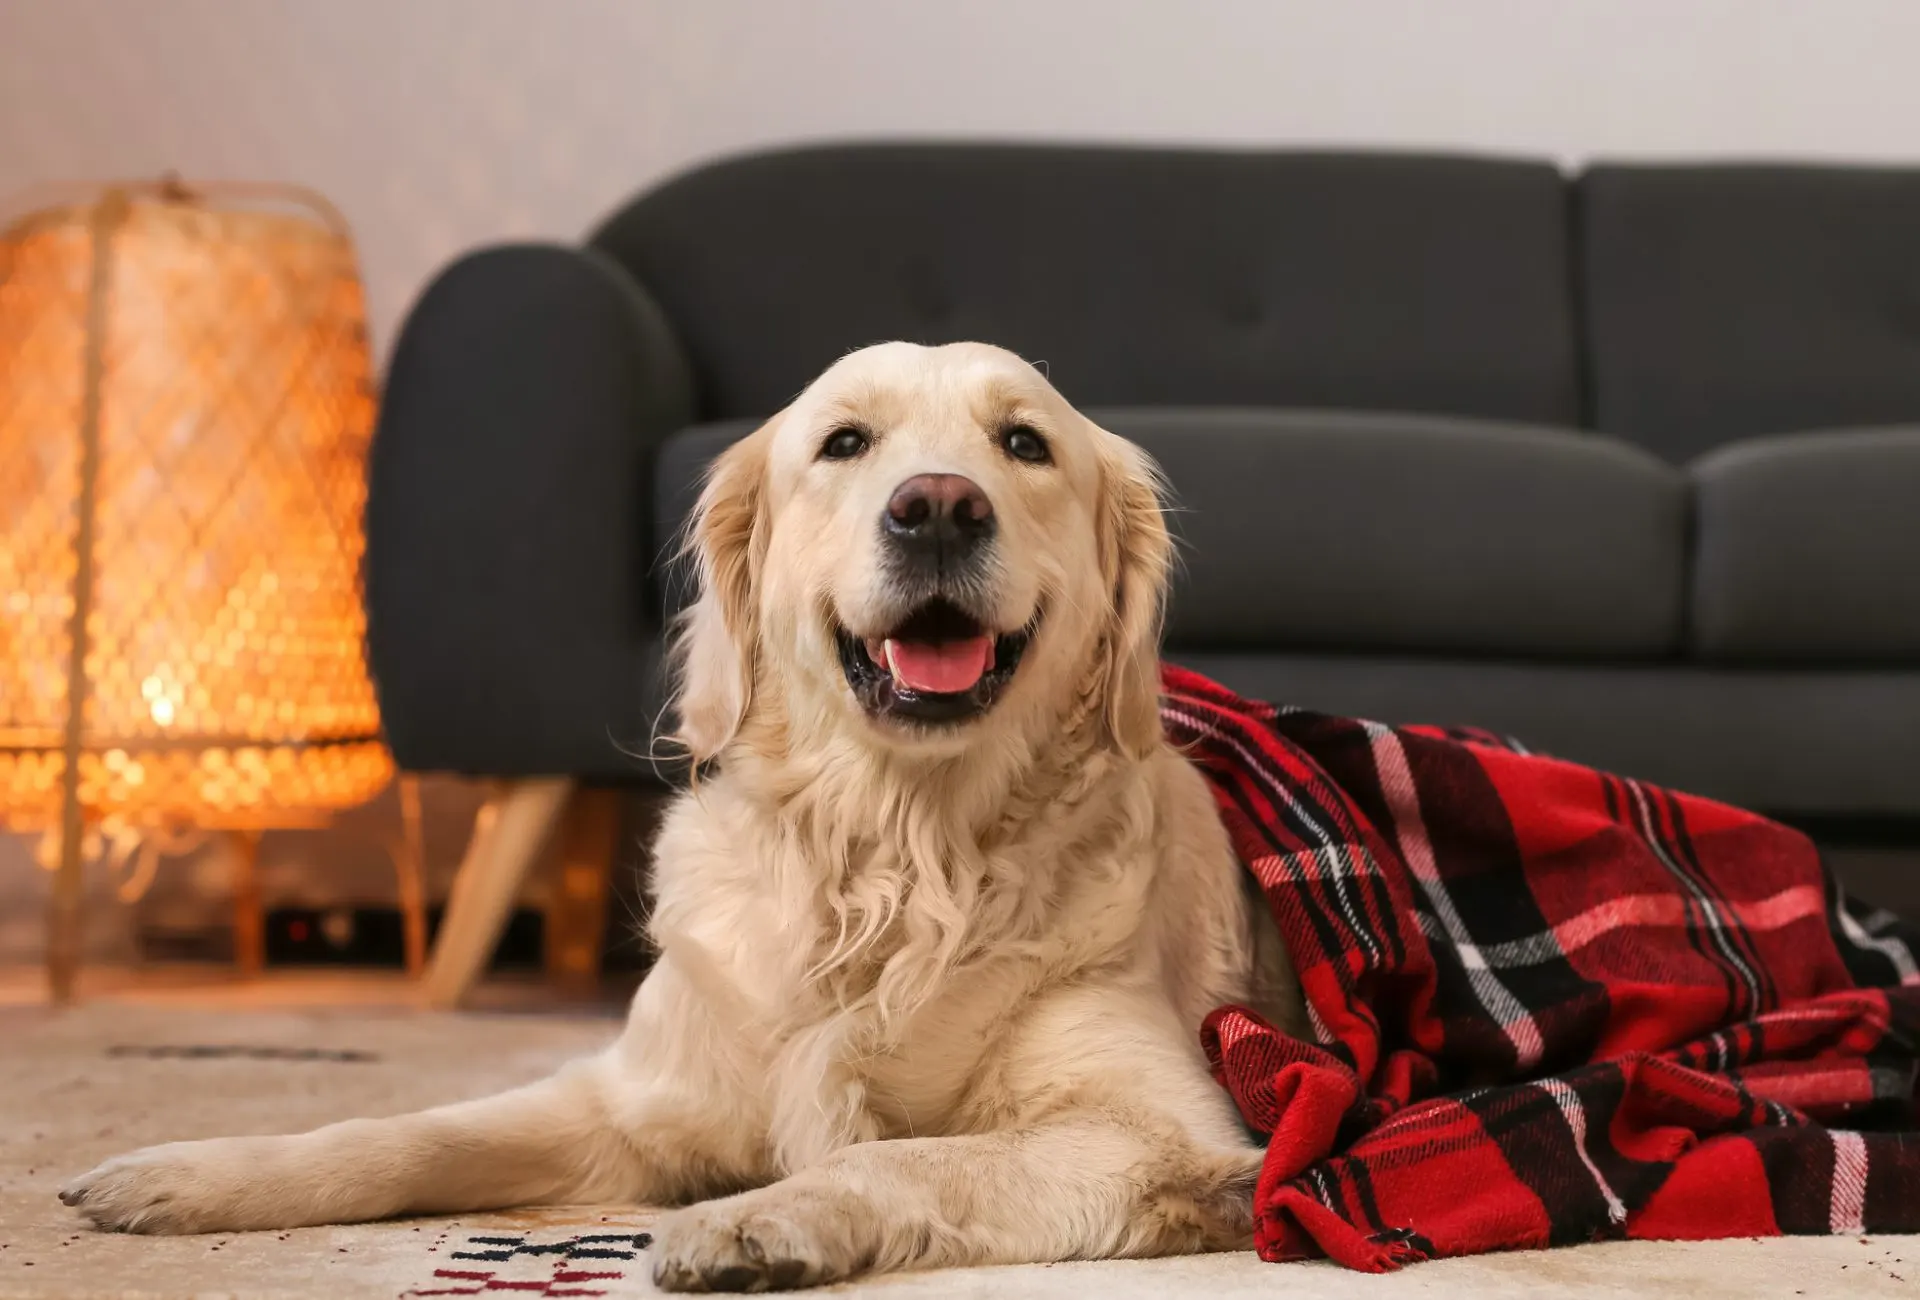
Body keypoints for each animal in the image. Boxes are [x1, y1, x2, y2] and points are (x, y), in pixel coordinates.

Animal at [67, 339, 1313, 1282]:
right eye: (845, 443)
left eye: (1024, 443)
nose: (938, 508)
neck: (894, 859)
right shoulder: (636, 1099)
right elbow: (415, 1128)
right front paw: (193, 1170)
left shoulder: (1161, 1132)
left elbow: (902, 1156)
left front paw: (751, 1217)